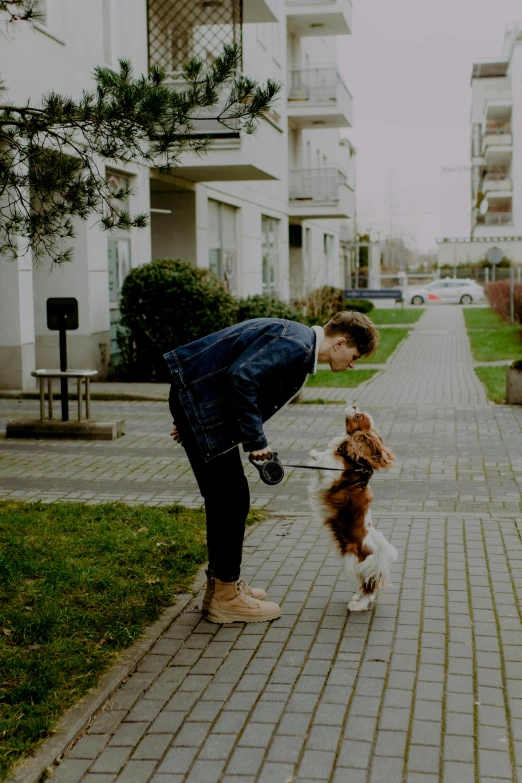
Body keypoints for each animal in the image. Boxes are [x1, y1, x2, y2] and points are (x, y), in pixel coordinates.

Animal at [306, 404, 396, 612]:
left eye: (357, 416)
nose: (354, 404)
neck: (356, 463)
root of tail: (376, 553)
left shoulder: (331, 472)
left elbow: (323, 460)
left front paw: (315, 454)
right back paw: (359, 599)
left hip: (353, 563)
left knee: (369, 586)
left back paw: (358, 604)